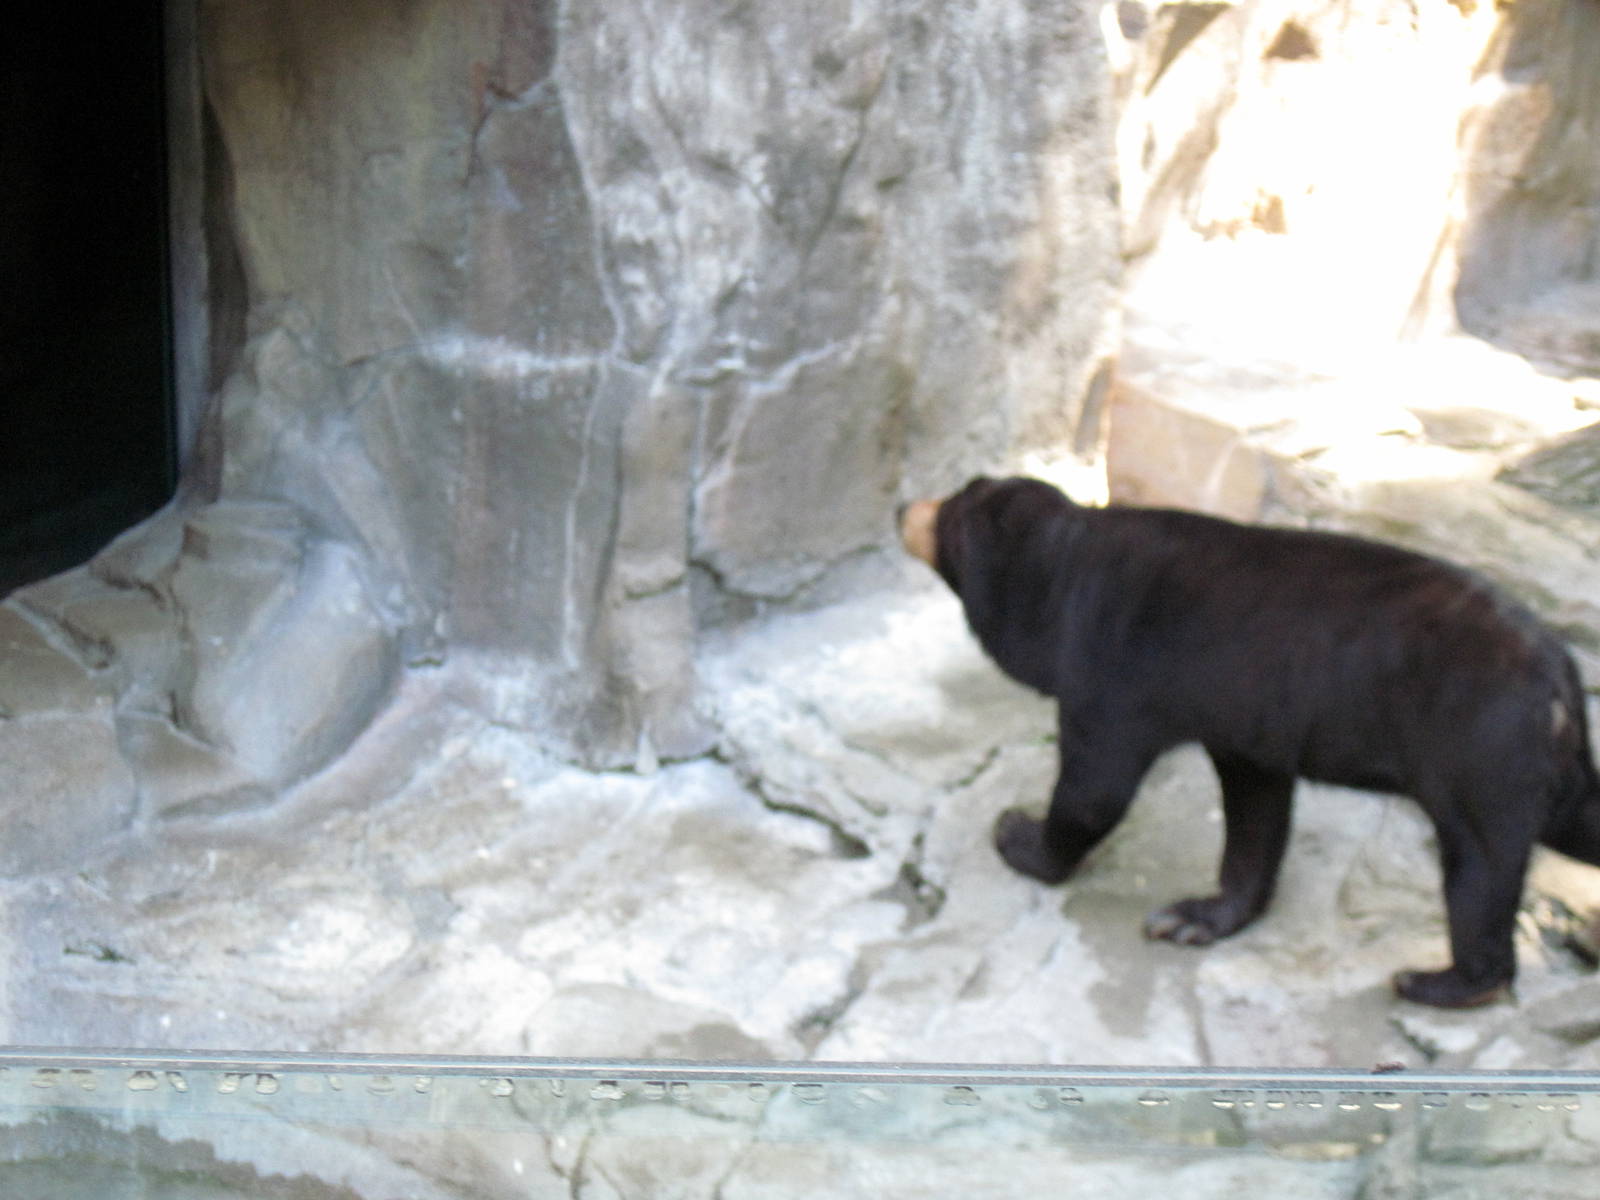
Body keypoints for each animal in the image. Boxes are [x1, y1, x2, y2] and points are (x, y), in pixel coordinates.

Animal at [899, 475, 1600, 1009]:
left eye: (951, 511)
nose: (903, 507)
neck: (1066, 571)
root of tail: (1562, 681)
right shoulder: (1248, 723)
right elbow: (1256, 812)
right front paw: (1194, 917)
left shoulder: (1115, 669)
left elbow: (1095, 786)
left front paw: (1015, 835)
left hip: (1479, 751)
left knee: (1479, 867)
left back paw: (1437, 981)